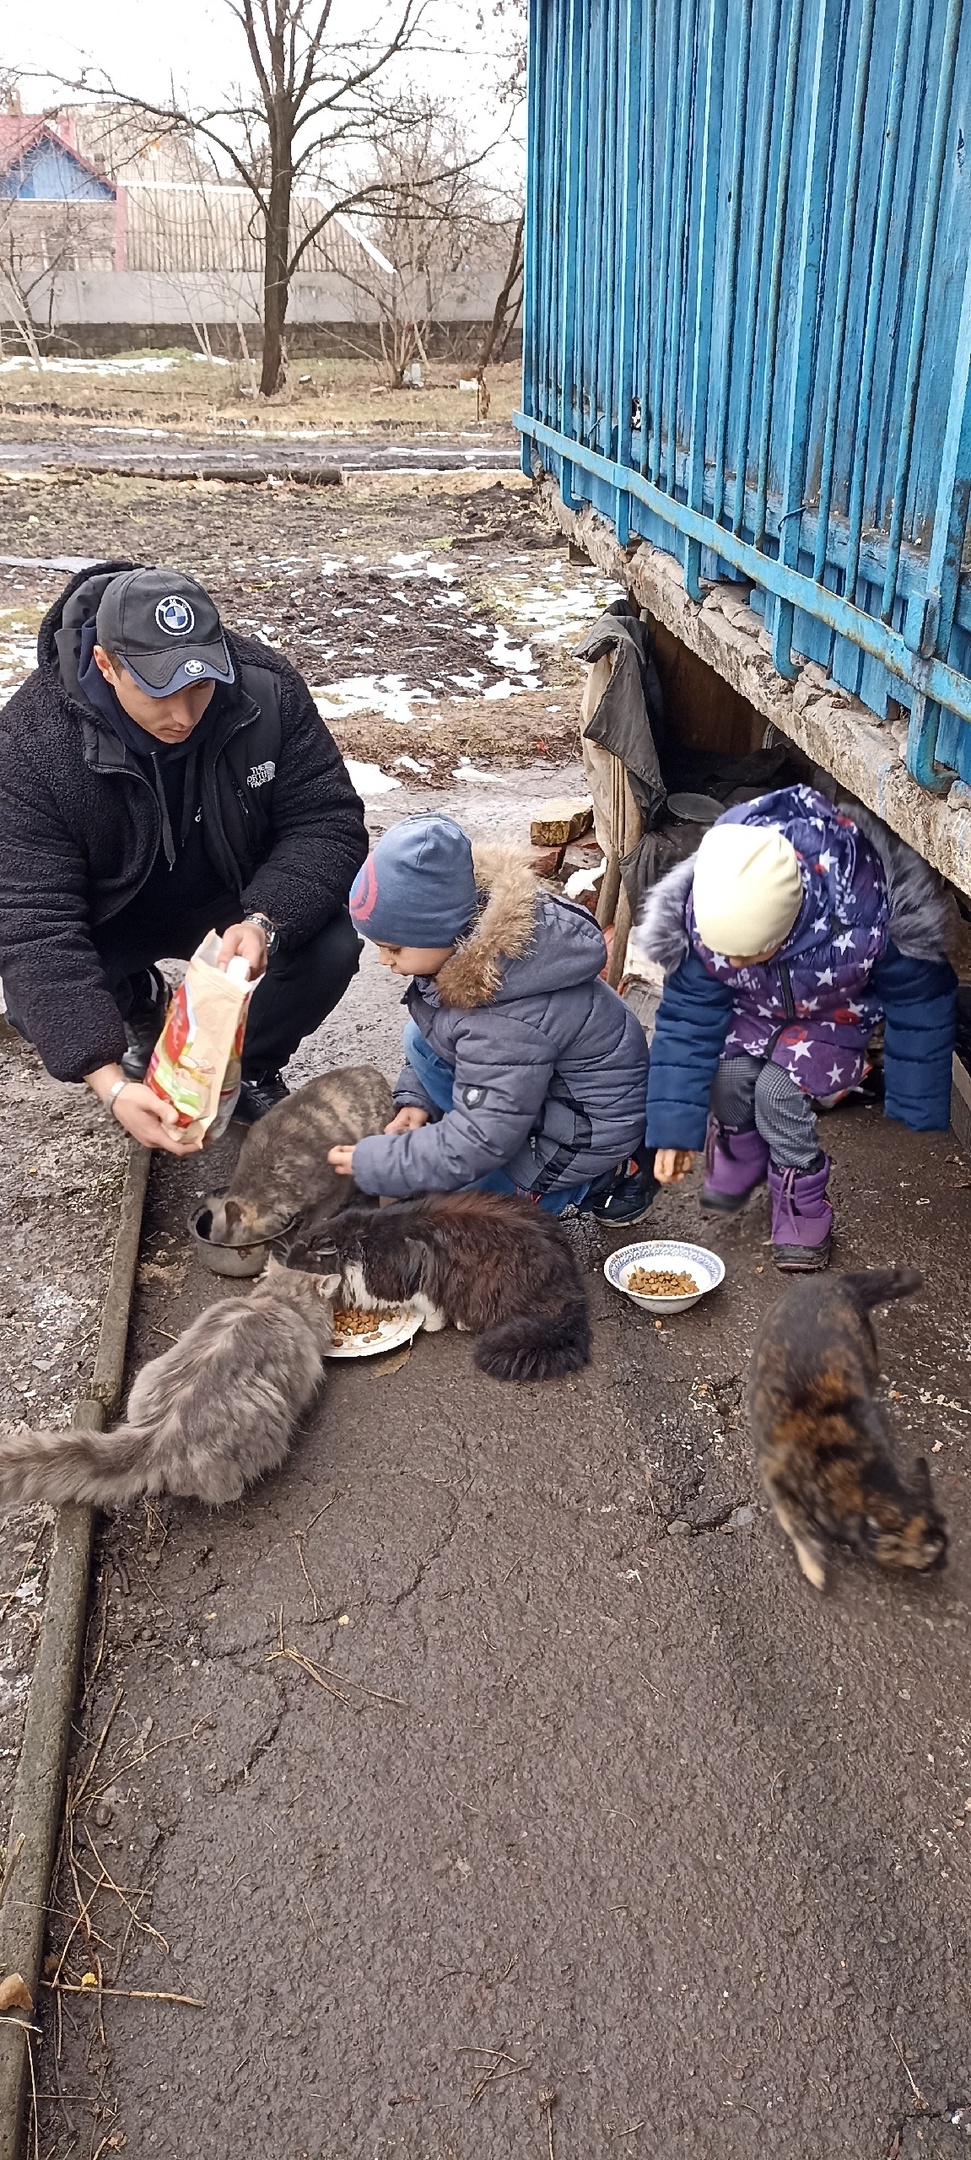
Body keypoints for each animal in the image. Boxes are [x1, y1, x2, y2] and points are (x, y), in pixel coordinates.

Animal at [746, 1261, 945, 1589]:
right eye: (930, 1558)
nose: (946, 1564)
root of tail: (836, 1282)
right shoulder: (775, 1473)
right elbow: (797, 1523)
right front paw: (815, 1563)